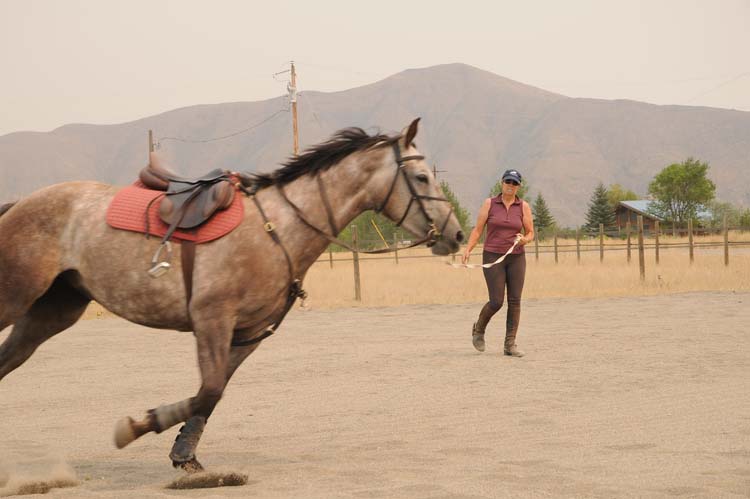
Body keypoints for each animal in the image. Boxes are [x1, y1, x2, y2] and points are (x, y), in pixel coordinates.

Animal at [0, 117, 464, 472]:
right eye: (421, 176)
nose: (457, 235)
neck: (278, 227)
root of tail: (20, 204)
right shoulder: (212, 320)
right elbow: (208, 390)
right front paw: (137, 427)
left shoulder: (248, 332)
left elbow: (213, 392)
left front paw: (183, 454)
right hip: (16, 297)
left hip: (53, 311)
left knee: (8, 359)